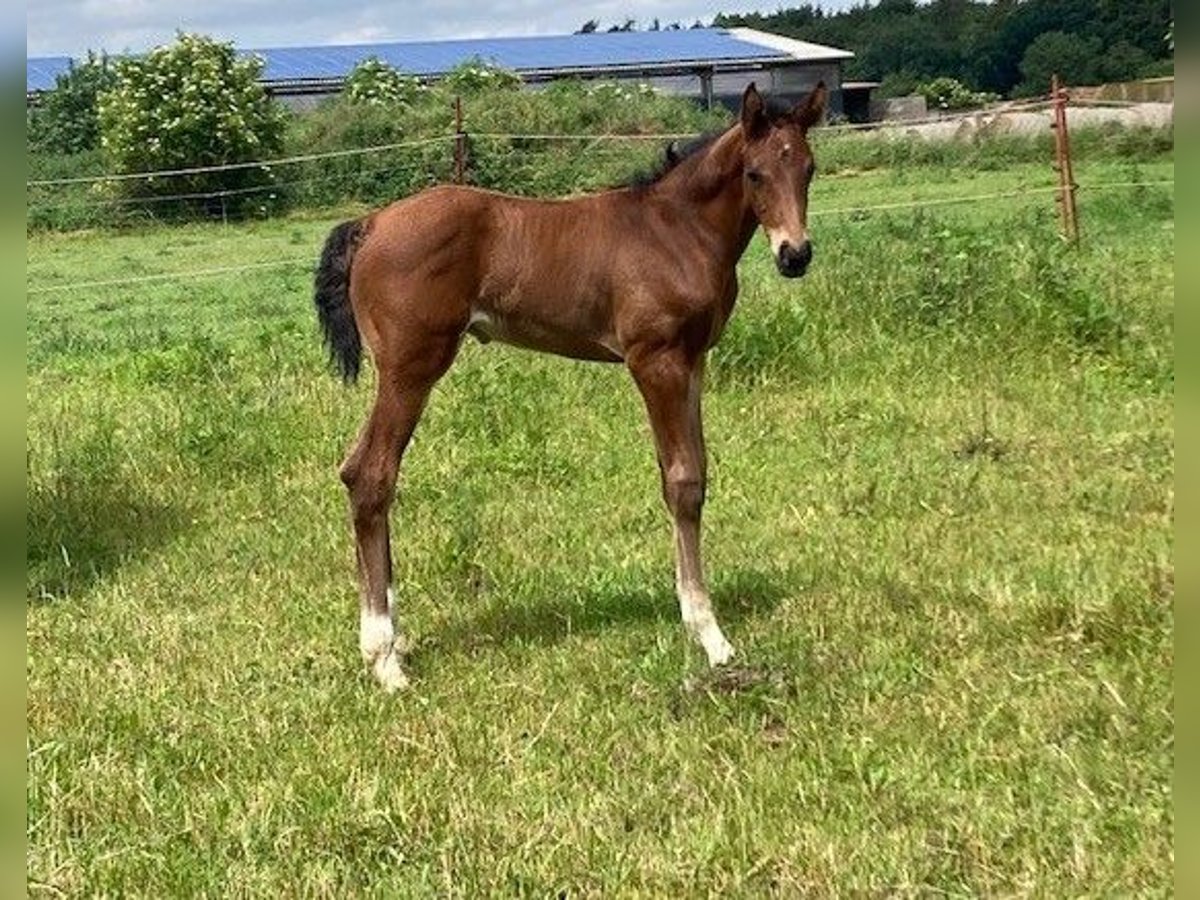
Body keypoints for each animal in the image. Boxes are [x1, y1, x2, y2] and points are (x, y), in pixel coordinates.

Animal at [319, 82, 825, 691]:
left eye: (809, 168)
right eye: (754, 173)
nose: (795, 255)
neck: (677, 229)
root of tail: (369, 224)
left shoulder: (693, 362)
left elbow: (694, 473)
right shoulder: (656, 361)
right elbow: (682, 482)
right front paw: (712, 637)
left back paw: (397, 638)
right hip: (409, 369)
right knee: (370, 475)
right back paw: (384, 659)